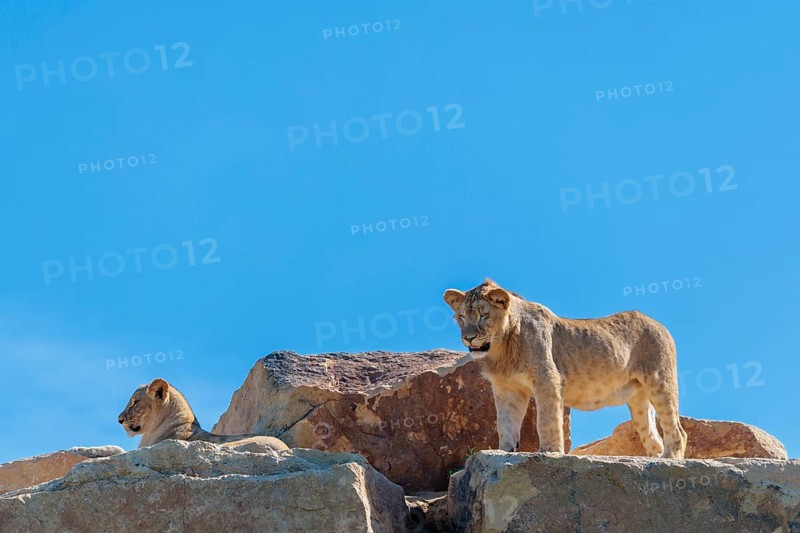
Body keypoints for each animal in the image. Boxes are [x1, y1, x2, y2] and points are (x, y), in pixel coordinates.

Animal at [443, 279, 687, 459]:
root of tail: (660, 325)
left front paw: (550, 452)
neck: (501, 348)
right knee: (653, 436)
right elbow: (505, 422)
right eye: (462, 317)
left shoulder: (548, 379)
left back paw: (670, 460)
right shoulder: (507, 389)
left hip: (660, 382)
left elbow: (547, 420)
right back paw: (655, 459)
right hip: (639, 399)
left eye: (484, 315)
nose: (468, 338)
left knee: (678, 431)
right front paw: (504, 451)